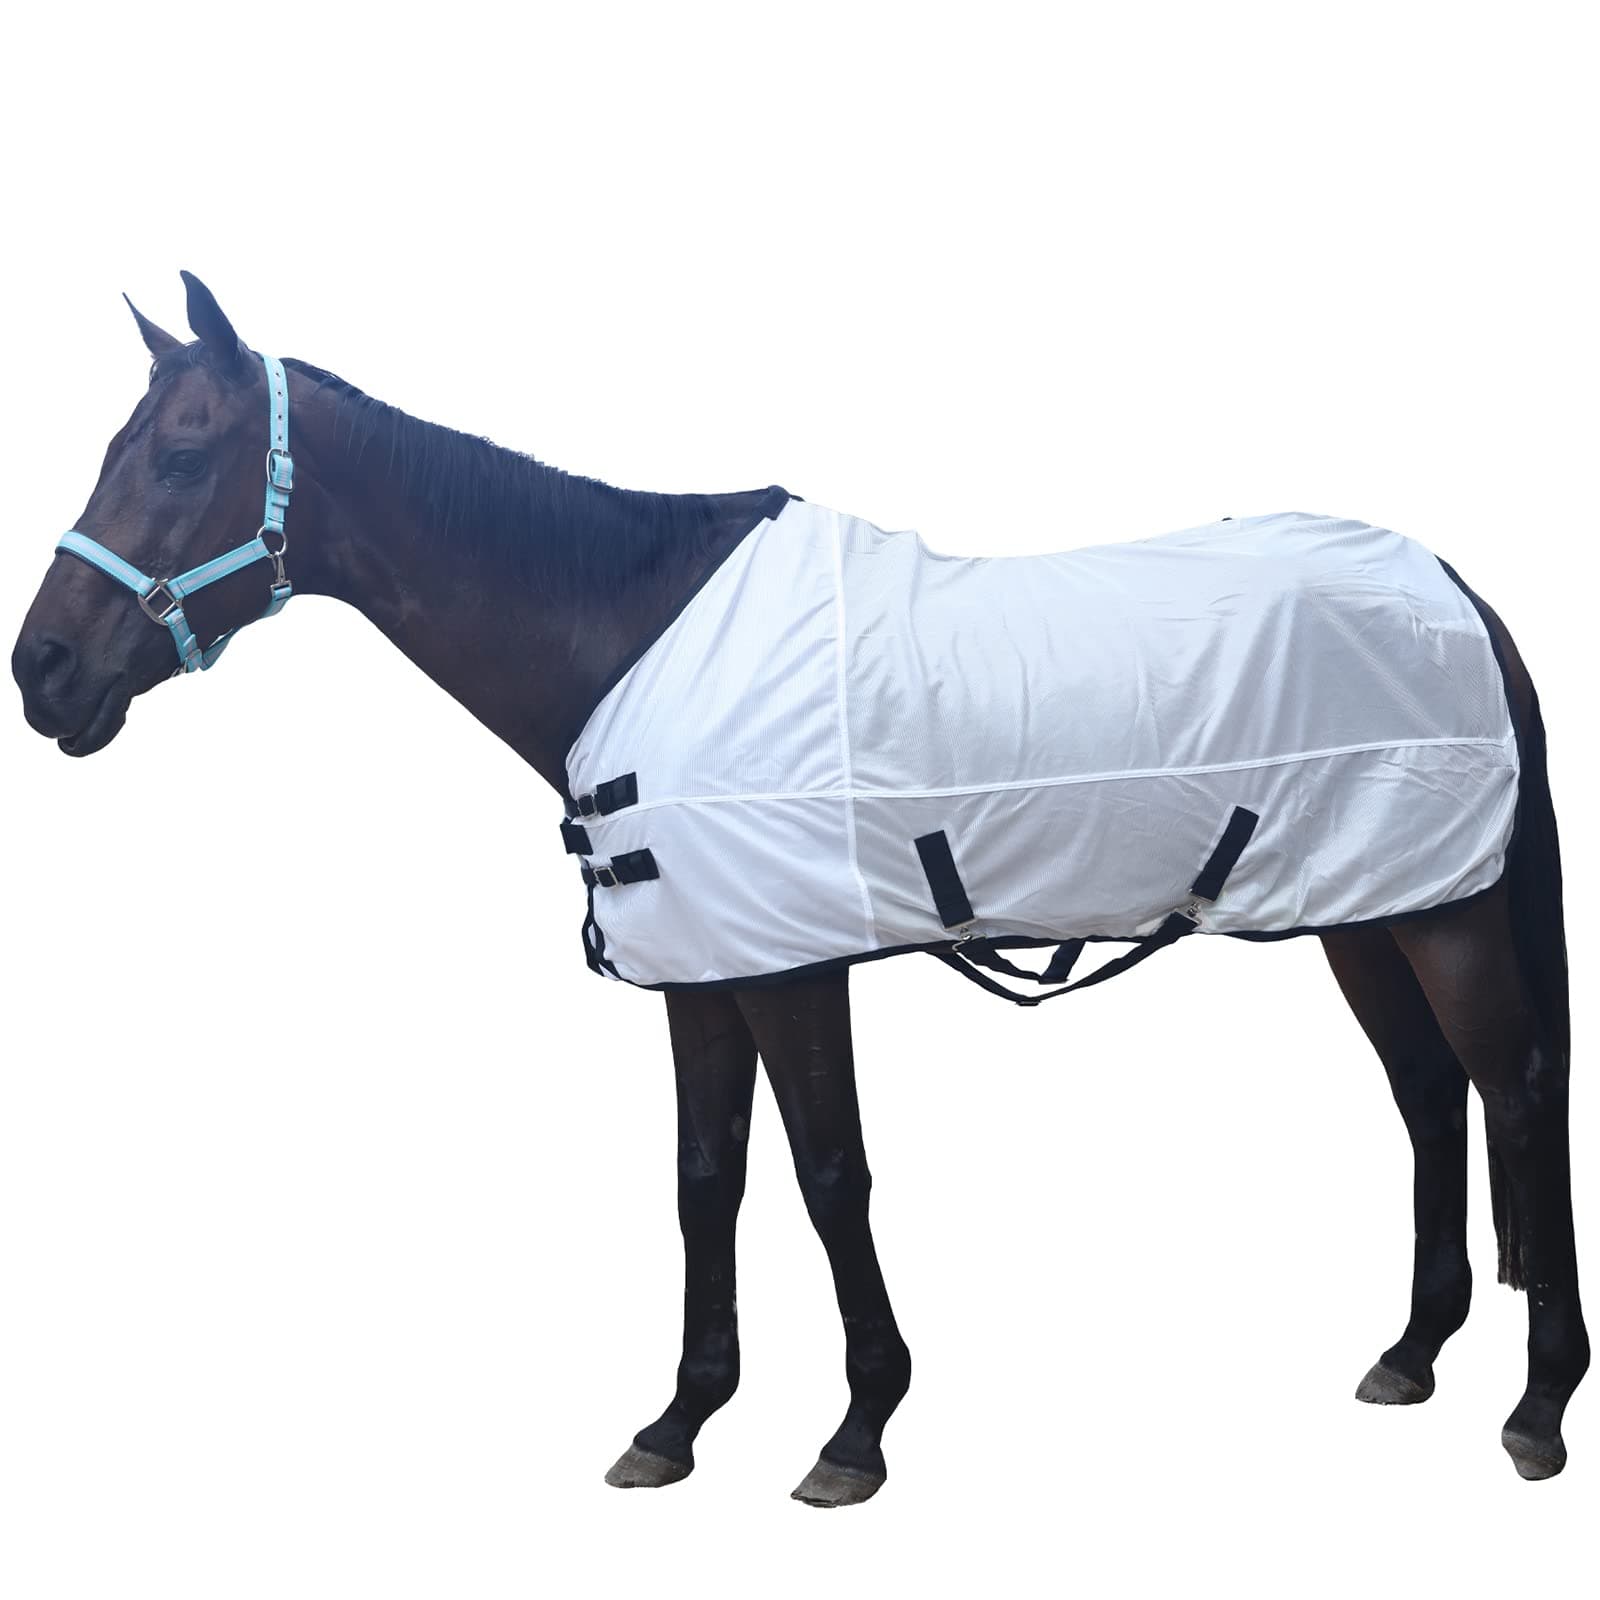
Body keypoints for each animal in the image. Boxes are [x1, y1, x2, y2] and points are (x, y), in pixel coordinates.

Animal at [12, 273, 1587, 1506]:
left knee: (1513, 1095)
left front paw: (858, 1429)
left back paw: (1537, 1404)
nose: (42, 672)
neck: (623, 632)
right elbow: (705, 1181)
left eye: (181, 457)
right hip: (1369, 914)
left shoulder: (788, 967)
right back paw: (1412, 1354)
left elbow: (832, 1175)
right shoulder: (702, 974)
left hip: (1444, 919)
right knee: (1426, 1098)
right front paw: (678, 1419)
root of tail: (1456, 588)